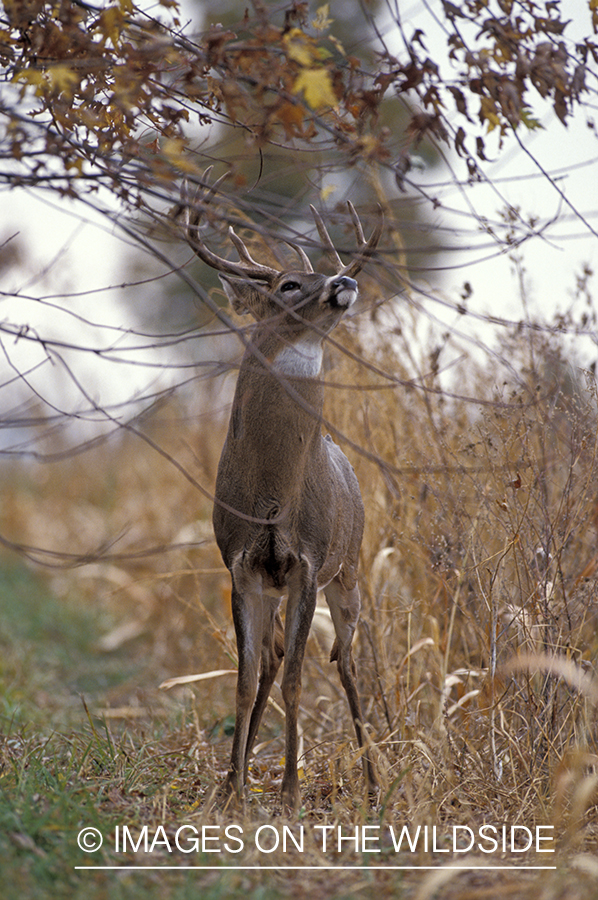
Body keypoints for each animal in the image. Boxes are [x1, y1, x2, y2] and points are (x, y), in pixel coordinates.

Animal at [180, 179, 382, 812]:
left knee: (347, 664)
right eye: (290, 284)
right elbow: (245, 680)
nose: (343, 281)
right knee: (270, 659)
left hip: (351, 571)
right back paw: (238, 774)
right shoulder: (242, 565)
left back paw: (374, 786)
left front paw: (290, 792)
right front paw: (232, 791)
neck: (271, 496)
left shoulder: (309, 564)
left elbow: (296, 679)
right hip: (278, 586)